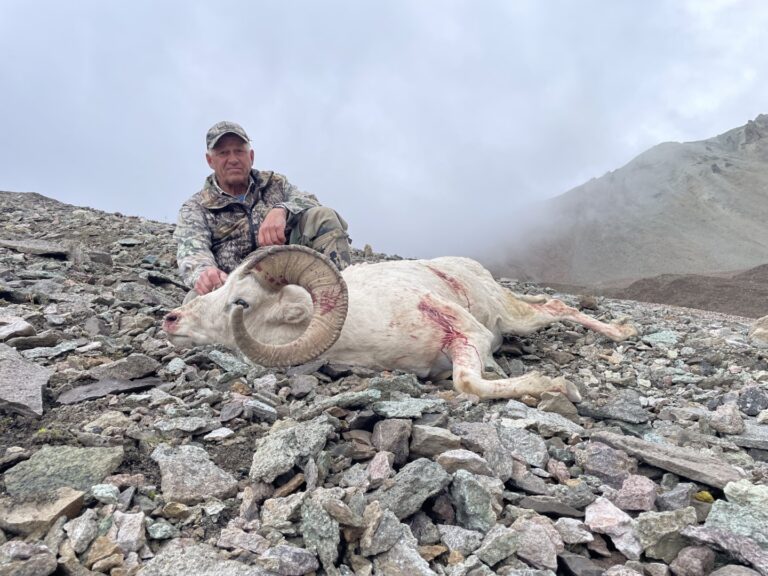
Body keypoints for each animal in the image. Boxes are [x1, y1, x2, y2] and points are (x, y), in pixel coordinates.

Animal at [165, 246, 640, 400]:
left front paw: (558, 387)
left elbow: (467, 382)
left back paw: (624, 332)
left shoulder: (472, 335)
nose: (171, 319)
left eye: (241, 301)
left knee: (557, 308)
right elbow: (466, 381)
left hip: (513, 317)